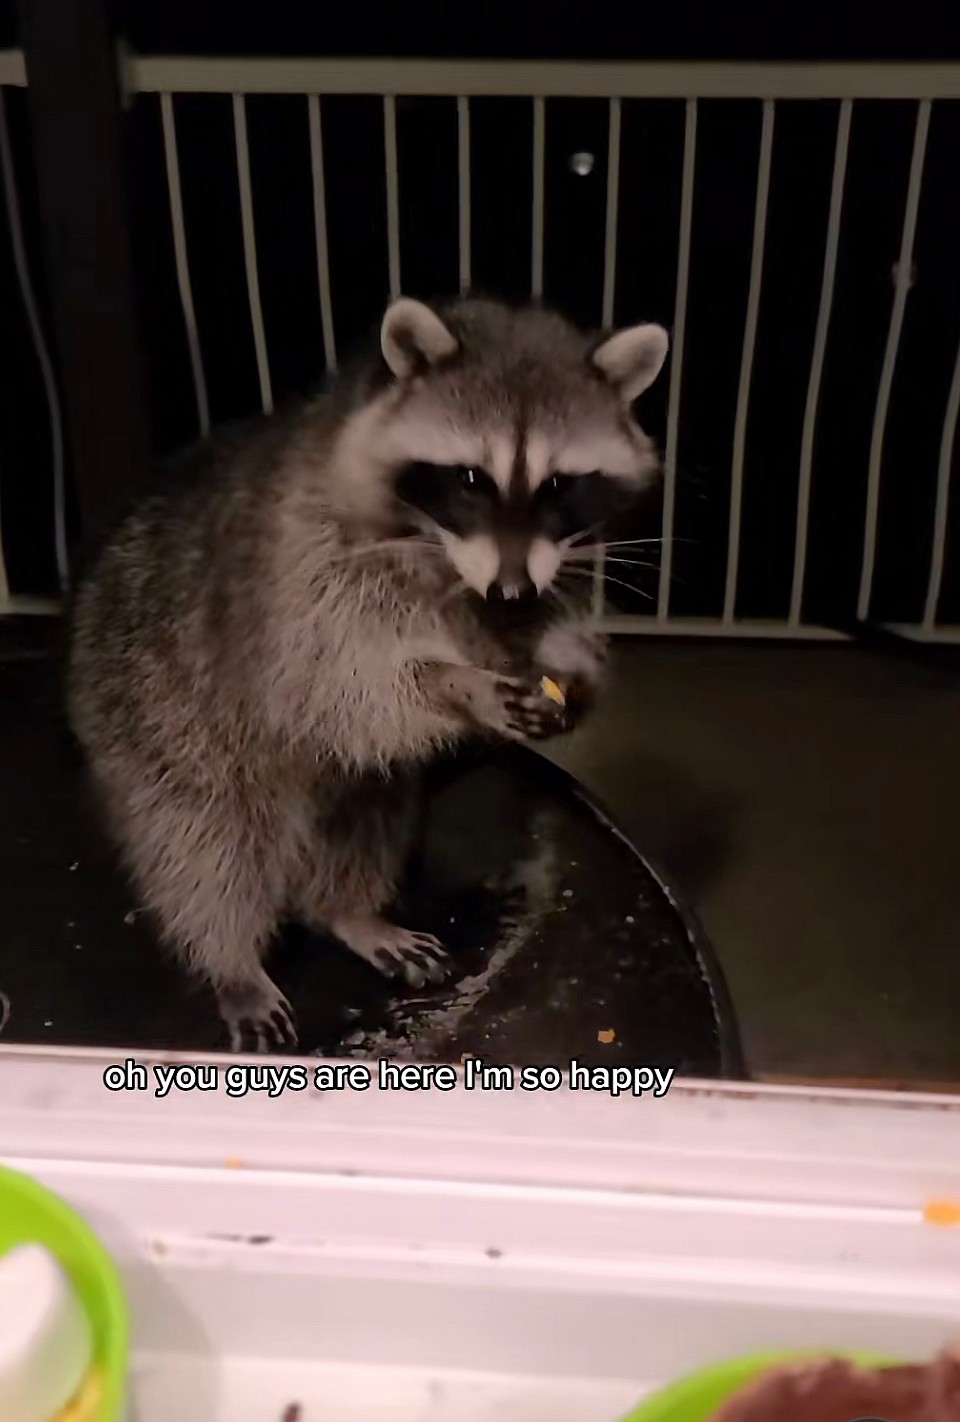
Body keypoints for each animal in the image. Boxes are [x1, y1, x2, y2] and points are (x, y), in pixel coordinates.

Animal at [68, 296, 668, 1051]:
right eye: (471, 479)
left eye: (559, 484)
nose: (509, 591)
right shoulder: (307, 573)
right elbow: (341, 686)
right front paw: (452, 681)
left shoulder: (546, 576)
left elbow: (544, 622)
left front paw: (572, 678)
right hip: (154, 718)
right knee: (204, 844)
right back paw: (231, 960)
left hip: (347, 786)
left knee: (367, 816)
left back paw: (346, 911)